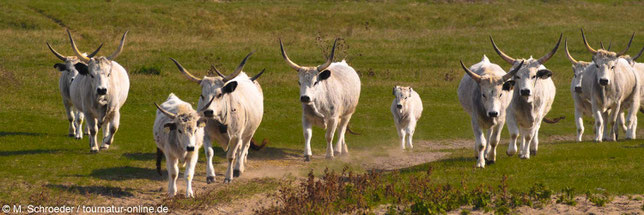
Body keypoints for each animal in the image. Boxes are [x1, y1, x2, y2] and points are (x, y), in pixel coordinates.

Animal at [171, 53, 264, 183]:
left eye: (219, 94)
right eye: (202, 95)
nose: (208, 111)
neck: (221, 120)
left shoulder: (236, 136)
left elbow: (231, 156)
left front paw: (228, 177)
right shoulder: (206, 134)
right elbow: (209, 153)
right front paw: (210, 176)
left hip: (250, 131)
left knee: (244, 147)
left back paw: (238, 168)